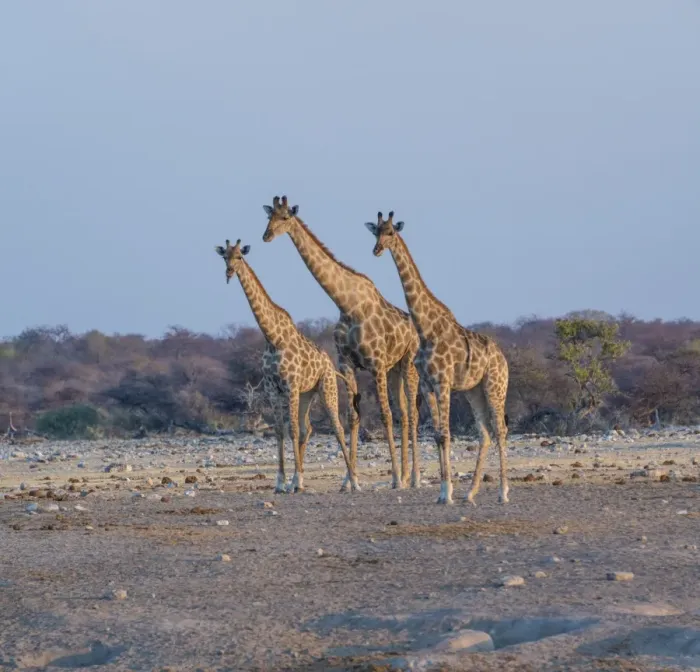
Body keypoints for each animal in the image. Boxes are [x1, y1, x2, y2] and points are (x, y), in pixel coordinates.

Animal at [215, 238, 359, 493]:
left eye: (239, 256)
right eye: (225, 257)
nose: (229, 271)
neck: (272, 337)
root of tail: (329, 364)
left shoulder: (290, 385)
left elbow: (291, 429)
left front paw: (295, 480)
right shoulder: (272, 389)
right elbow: (280, 430)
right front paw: (282, 481)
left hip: (326, 386)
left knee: (336, 426)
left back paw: (351, 481)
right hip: (307, 394)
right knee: (307, 427)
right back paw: (299, 480)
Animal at [262, 195, 440, 490]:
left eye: (285, 217)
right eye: (269, 216)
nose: (266, 235)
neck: (347, 304)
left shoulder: (376, 363)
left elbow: (384, 414)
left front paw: (393, 478)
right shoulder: (347, 363)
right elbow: (352, 417)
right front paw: (349, 480)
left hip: (407, 365)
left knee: (412, 413)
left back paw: (411, 477)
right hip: (394, 370)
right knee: (404, 411)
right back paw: (406, 474)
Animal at [365, 211, 510, 506]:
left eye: (391, 233)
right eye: (375, 232)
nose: (376, 250)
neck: (426, 328)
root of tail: (504, 359)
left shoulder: (443, 383)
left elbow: (446, 434)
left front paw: (447, 491)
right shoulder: (427, 385)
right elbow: (437, 435)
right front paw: (445, 492)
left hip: (495, 387)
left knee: (500, 430)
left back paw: (503, 492)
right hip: (474, 391)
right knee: (485, 433)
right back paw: (471, 492)